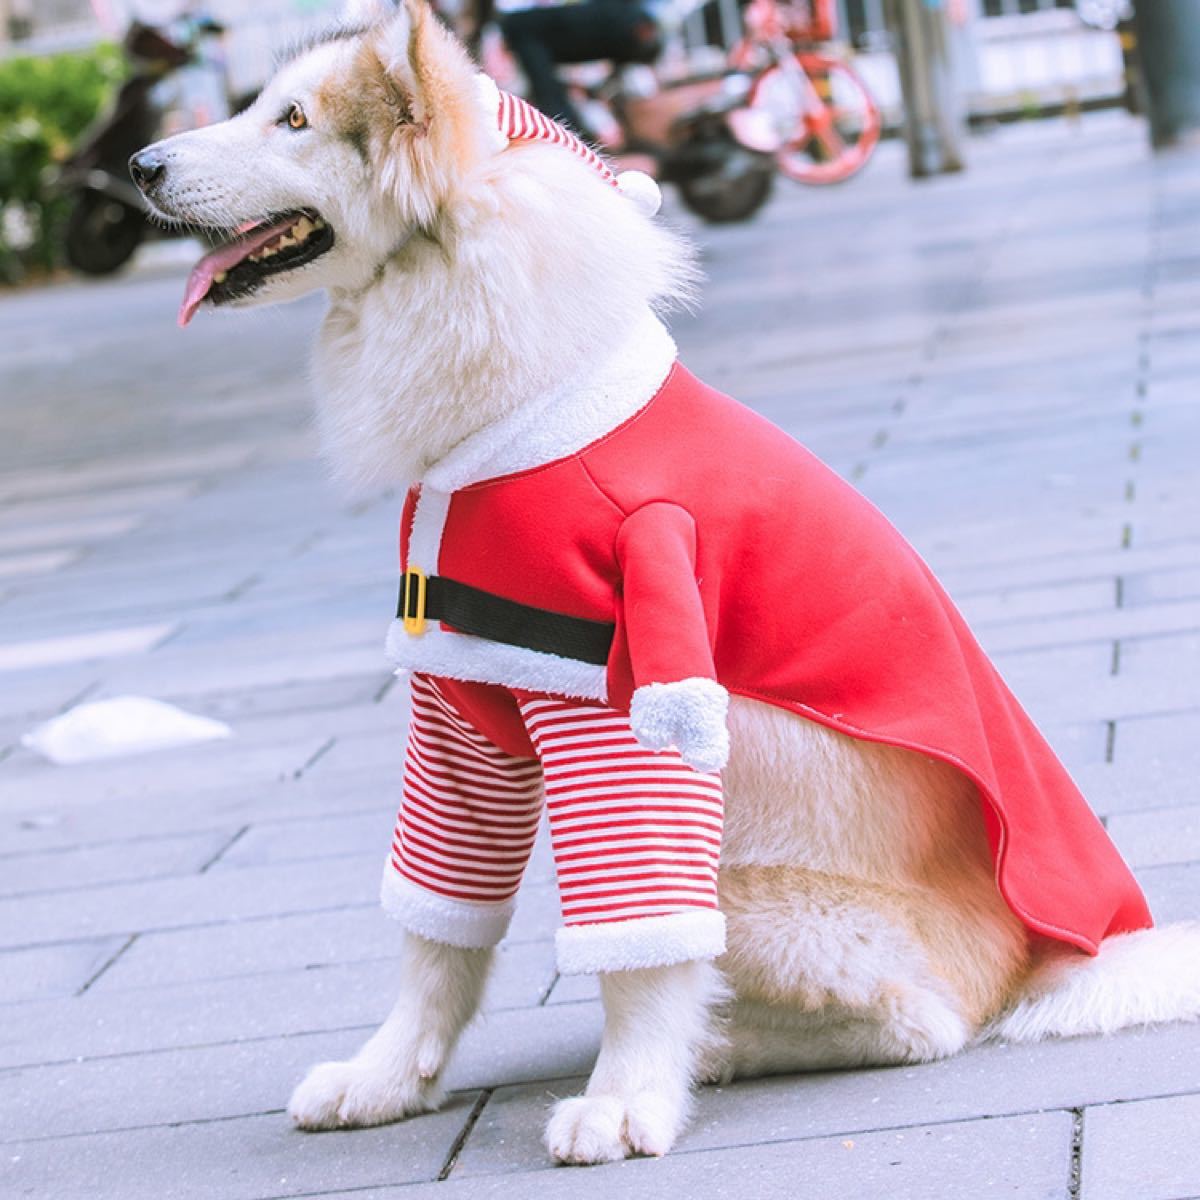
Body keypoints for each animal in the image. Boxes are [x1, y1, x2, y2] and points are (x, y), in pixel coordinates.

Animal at [131, 0, 1200, 1161]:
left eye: (291, 120)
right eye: (259, 105)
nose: (139, 164)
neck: (512, 422)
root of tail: (1047, 960)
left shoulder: (628, 703)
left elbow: (641, 958)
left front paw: (625, 1098)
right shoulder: (455, 707)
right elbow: (436, 932)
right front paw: (389, 1077)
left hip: (757, 876)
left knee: (917, 1021)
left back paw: (723, 1048)